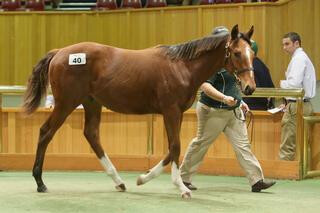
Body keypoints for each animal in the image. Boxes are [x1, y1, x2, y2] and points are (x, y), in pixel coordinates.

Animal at [23, 24, 255, 198]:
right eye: (236, 53)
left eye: (252, 53)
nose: (249, 87)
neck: (182, 66)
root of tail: (59, 53)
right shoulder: (171, 111)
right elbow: (175, 147)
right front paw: (179, 187)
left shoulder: (176, 113)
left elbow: (172, 149)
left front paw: (144, 178)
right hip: (66, 103)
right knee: (45, 132)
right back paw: (40, 182)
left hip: (91, 103)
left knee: (91, 134)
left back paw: (119, 181)